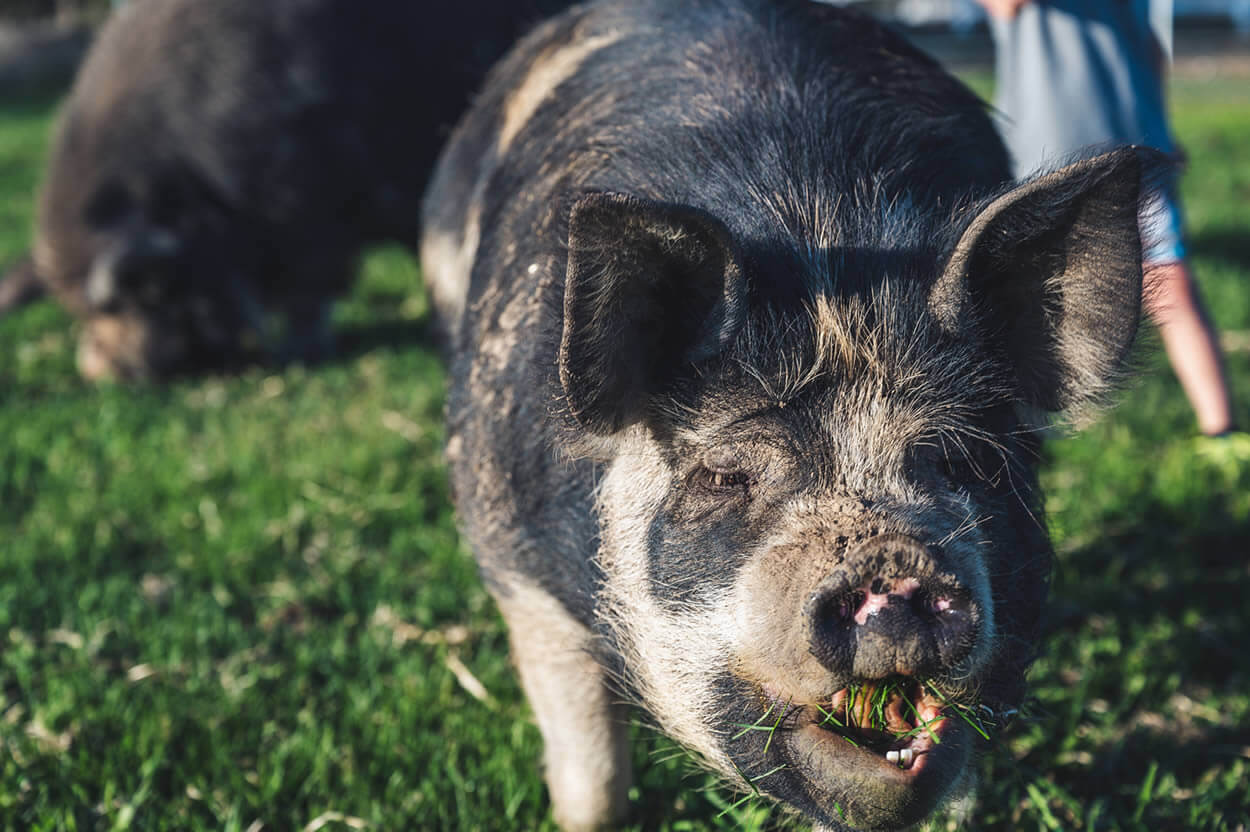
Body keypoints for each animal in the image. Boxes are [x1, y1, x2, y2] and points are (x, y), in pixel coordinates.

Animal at [9, 0, 565, 379]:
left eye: (139, 299)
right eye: (76, 311)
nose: (103, 373)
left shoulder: (306, 206)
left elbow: (311, 288)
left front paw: (301, 354)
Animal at [422, 1, 1160, 829]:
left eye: (966, 460)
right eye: (724, 474)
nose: (892, 565)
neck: (823, 247)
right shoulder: (511, 558)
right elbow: (591, 776)